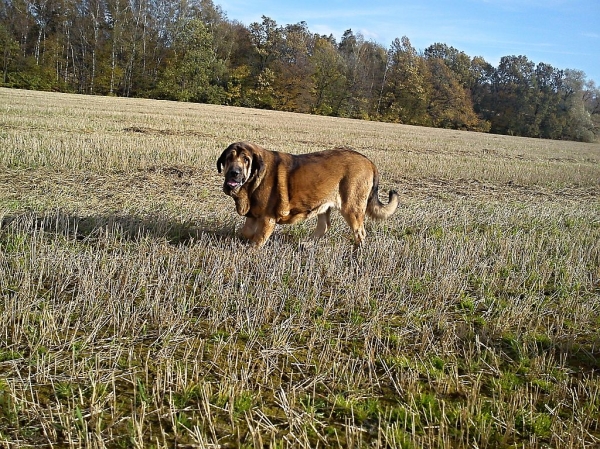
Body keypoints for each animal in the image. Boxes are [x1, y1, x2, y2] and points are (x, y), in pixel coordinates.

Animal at [216, 142, 398, 247]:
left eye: (246, 160)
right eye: (229, 158)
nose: (234, 173)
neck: (253, 180)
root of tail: (369, 162)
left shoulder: (267, 218)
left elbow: (258, 239)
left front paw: (250, 251)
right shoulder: (253, 214)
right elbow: (246, 231)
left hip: (351, 208)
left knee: (360, 232)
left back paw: (357, 251)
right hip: (324, 205)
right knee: (324, 227)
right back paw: (307, 244)